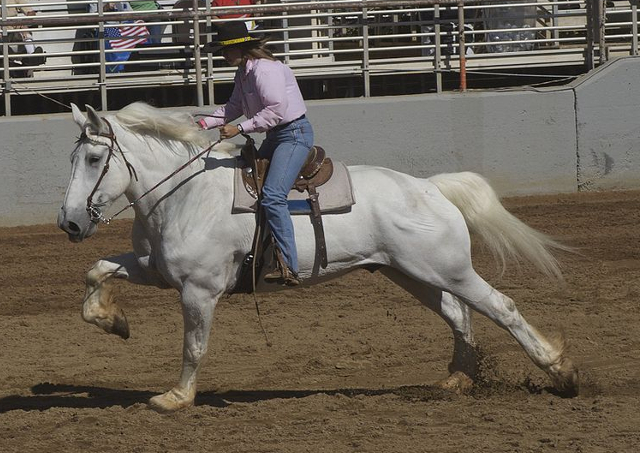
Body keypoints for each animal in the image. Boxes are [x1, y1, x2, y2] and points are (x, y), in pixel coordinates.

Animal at [57, 101, 579, 413]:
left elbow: (194, 345)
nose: (70, 224)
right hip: (413, 273)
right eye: (72, 158)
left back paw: (562, 372)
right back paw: (458, 380)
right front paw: (113, 321)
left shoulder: (199, 291)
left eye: (93, 159)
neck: (186, 195)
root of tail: (430, 187)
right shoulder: (156, 270)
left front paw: (176, 396)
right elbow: (96, 271)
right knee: (459, 314)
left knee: (501, 308)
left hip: (448, 270)